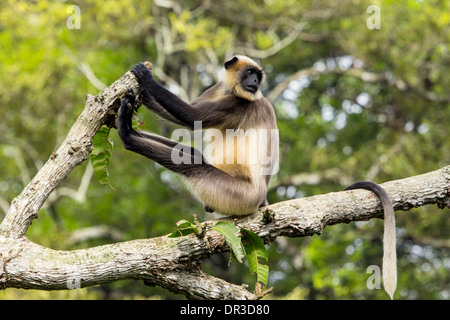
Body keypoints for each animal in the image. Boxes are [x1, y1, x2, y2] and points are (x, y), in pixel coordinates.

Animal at [116, 55, 278, 215]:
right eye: (251, 73)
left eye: (258, 76)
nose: (255, 81)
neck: (232, 93)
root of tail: (262, 199)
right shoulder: (219, 88)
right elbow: (188, 111)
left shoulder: (240, 104)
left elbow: (192, 116)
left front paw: (146, 77)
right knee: (194, 154)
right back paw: (129, 128)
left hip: (239, 195)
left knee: (194, 165)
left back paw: (127, 136)